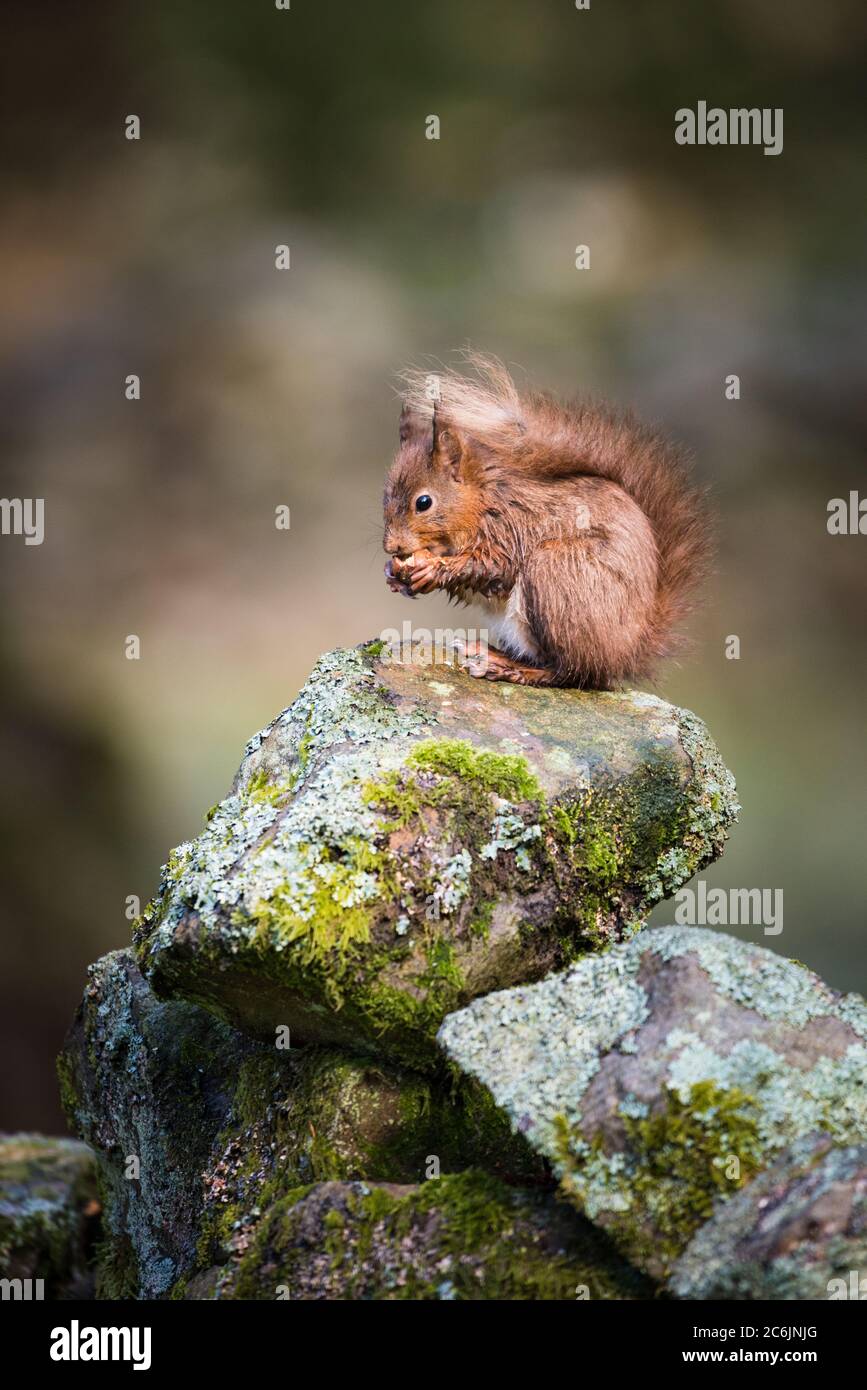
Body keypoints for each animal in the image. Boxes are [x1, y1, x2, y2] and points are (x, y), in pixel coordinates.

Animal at [383, 353, 711, 689]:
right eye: (385, 494)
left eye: (423, 502)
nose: (391, 547)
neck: (481, 499)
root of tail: (627, 650)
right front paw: (395, 574)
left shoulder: (509, 527)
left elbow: (492, 565)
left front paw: (433, 568)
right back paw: (491, 653)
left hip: (556, 579)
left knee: (572, 672)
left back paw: (507, 669)